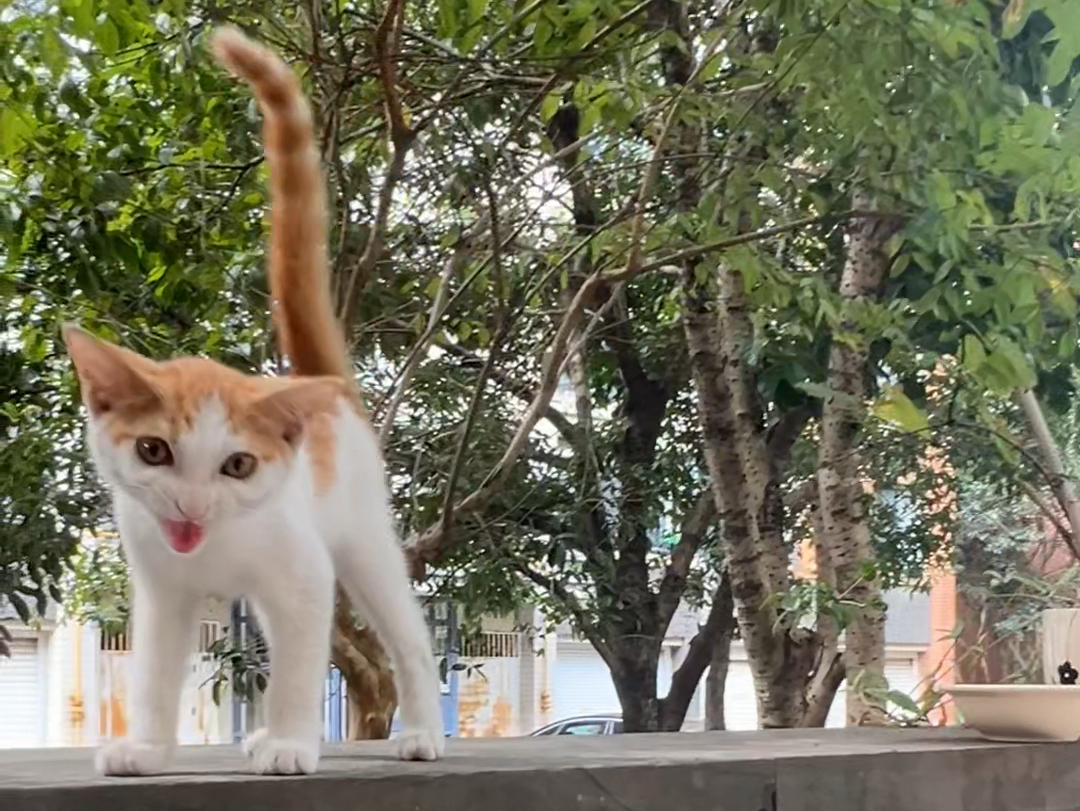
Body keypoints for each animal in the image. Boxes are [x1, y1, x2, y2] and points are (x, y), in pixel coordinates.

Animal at [64, 28, 442, 777]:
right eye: (153, 449)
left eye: (238, 464)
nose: (190, 508)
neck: (215, 545)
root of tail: (328, 387)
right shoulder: (162, 588)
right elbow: (153, 672)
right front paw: (146, 747)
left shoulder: (303, 574)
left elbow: (298, 669)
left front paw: (292, 742)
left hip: (363, 539)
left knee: (406, 634)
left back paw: (421, 732)